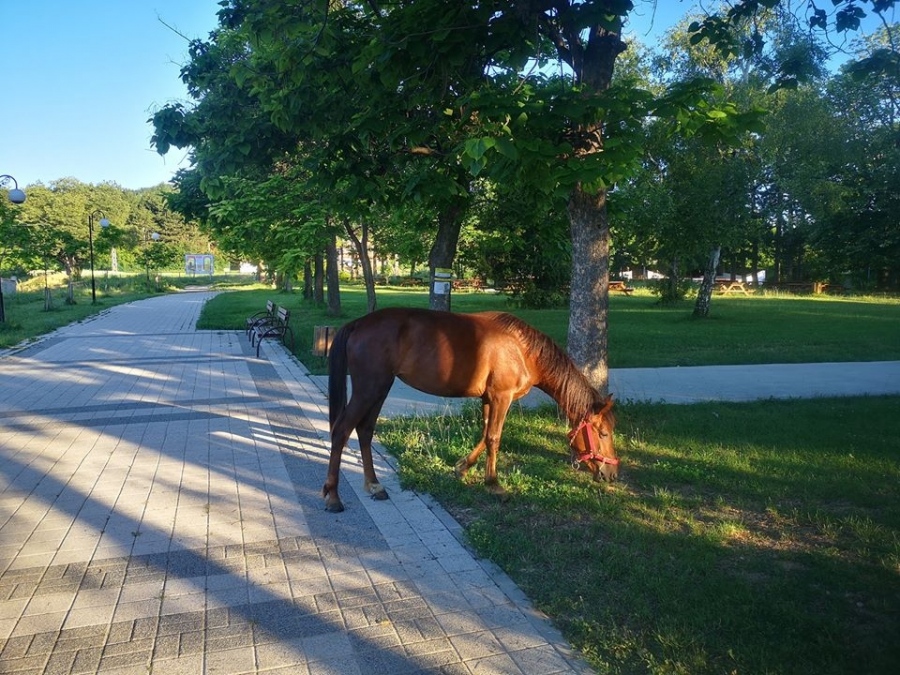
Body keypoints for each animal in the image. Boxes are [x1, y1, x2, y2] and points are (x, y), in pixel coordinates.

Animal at [324, 308, 620, 512]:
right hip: (369, 389)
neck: (522, 349)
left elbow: (485, 434)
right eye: (604, 434)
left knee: (365, 430)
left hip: (380, 388)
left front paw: (462, 468)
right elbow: (494, 438)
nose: (612, 474)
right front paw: (494, 485)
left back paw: (375, 485)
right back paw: (333, 497)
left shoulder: (489, 398)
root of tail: (359, 323)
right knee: (342, 430)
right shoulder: (502, 397)